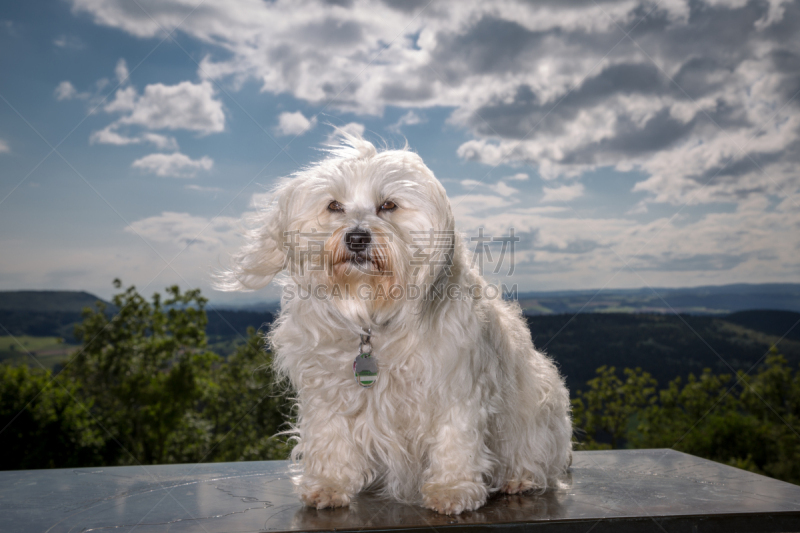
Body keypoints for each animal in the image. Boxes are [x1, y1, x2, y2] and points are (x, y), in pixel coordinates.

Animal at [216, 134, 572, 516]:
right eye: (334, 206)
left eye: (388, 205)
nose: (357, 238)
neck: (371, 313)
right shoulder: (327, 389)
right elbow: (330, 435)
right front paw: (329, 484)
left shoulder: (455, 383)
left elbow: (455, 437)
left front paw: (452, 489)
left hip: (539, 407)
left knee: (535, 457)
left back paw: (519, 478)